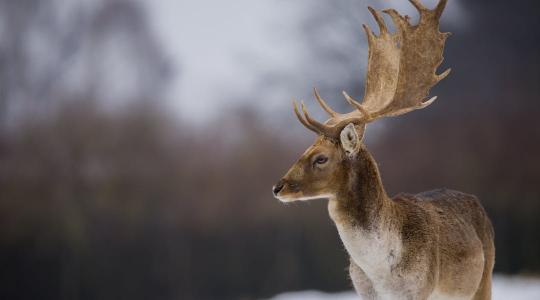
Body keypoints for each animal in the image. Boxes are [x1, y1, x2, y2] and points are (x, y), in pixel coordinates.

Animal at [272, 1, 496, 298]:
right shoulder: (362, 291)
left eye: (321, 158)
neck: (382, 275)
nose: (278, 187)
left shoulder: (420, 288)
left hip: (485, 278)